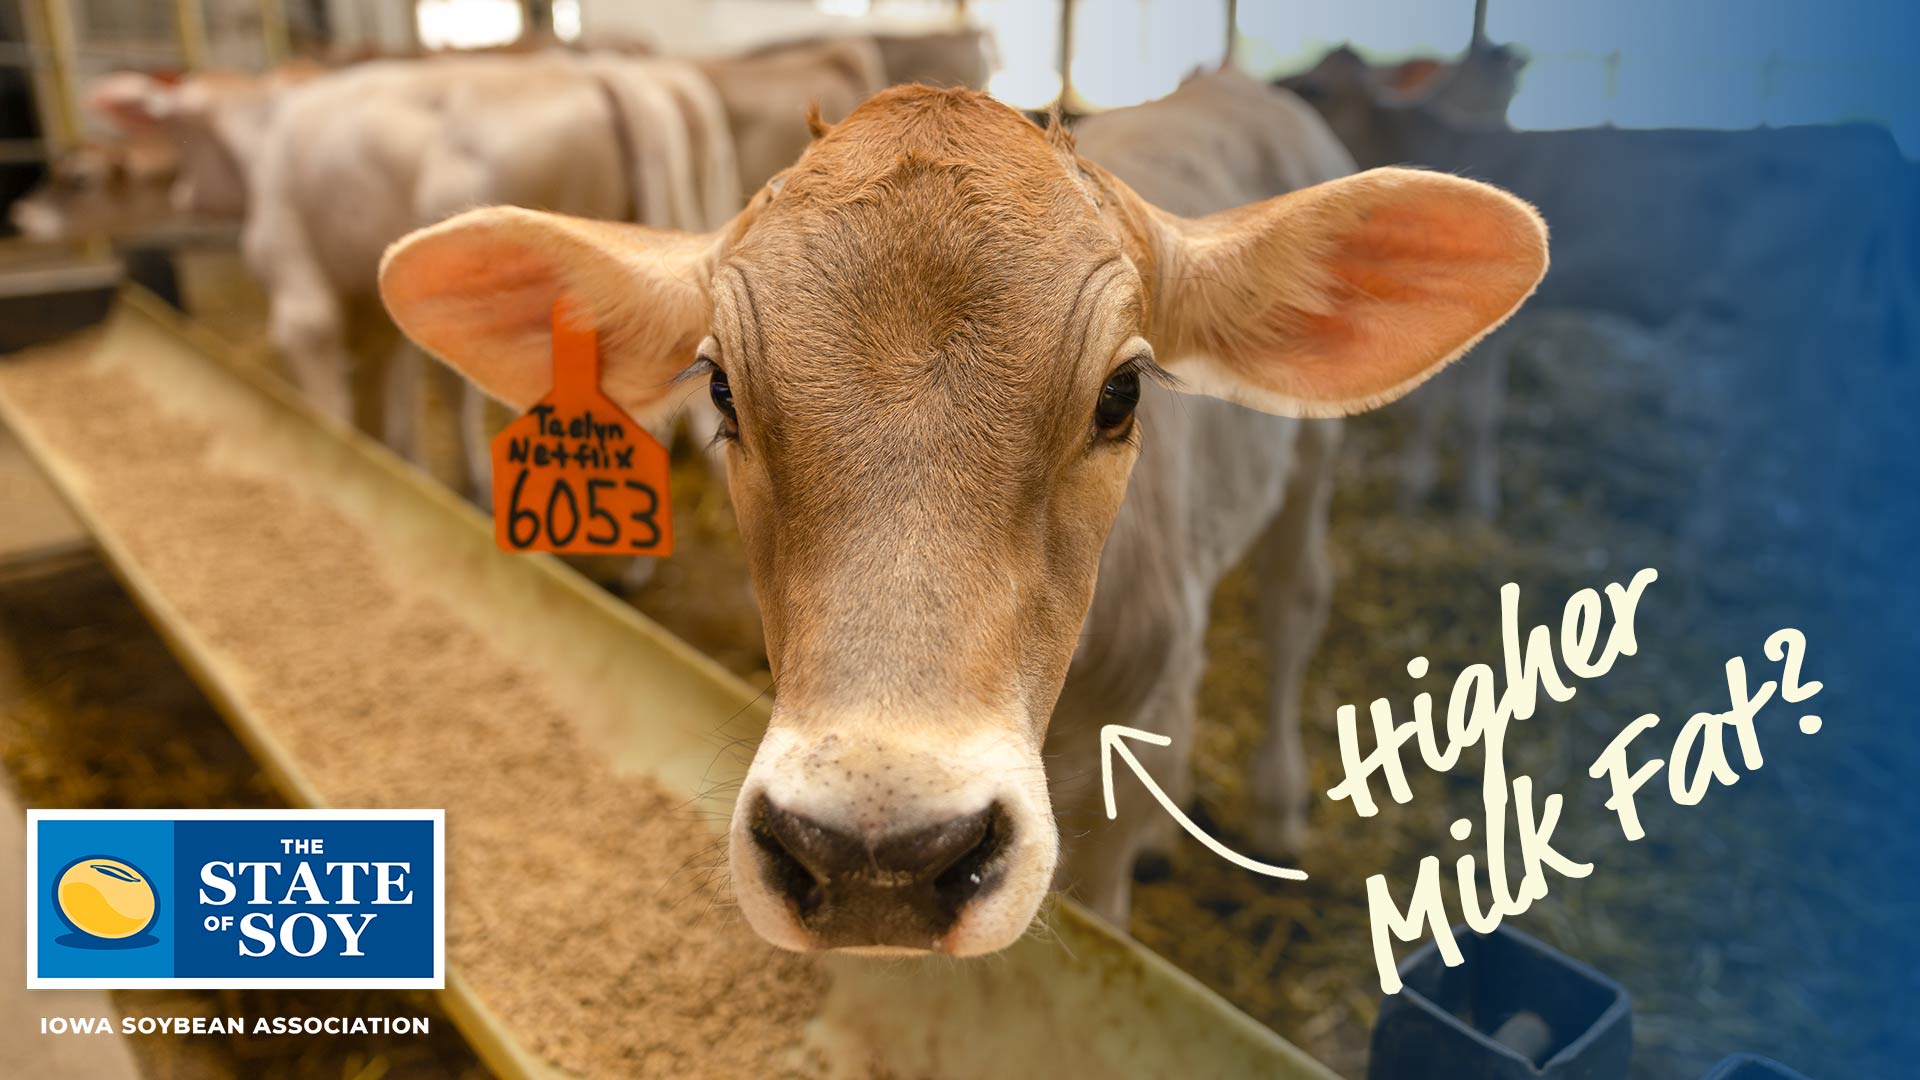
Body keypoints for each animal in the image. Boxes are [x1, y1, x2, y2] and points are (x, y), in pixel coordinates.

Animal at [377, 72, 1546, 953]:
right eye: (720, 388)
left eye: (1122, 393)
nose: (877, 860)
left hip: (1311, 453)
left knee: (1295, 602)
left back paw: (1272, 802)